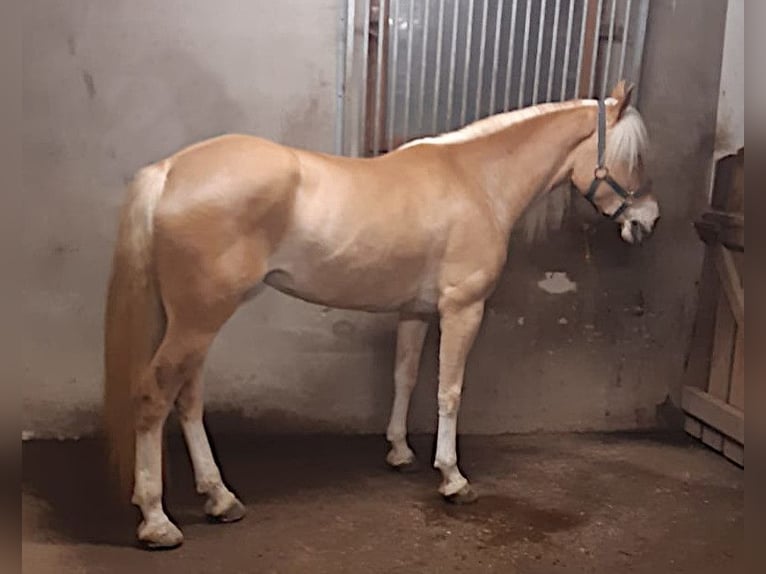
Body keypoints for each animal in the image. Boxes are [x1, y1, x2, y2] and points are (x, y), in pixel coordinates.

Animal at [103, 80, 660, 548]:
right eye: (634, 158)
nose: (648, 221)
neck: (477, 181)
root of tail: (169, 171)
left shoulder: (414, 312)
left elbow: (405, 377)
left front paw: (399, 452)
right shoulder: (463, 309)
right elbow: (449, 390)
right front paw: (452, 478)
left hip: (194, 322)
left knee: (188, 400)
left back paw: (220, 499)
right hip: (198, 321)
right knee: (155, 396)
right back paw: (157, 521)